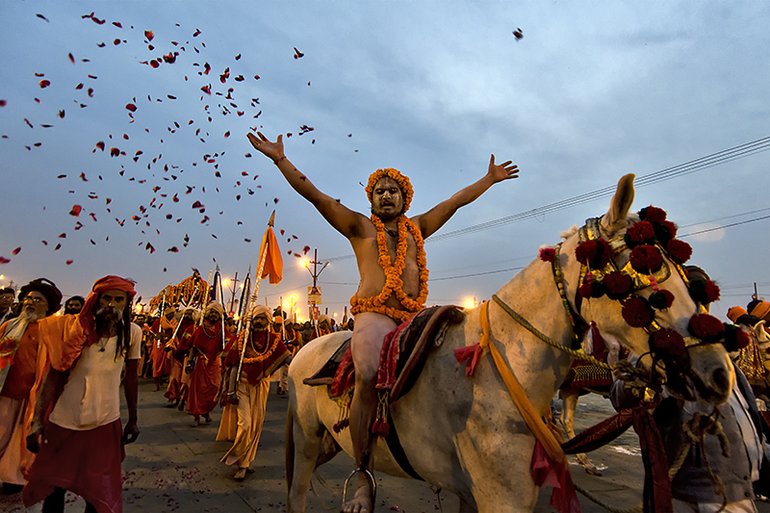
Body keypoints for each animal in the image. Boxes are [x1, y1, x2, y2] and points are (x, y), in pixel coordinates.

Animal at [284, 174, 732, 510]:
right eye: (642, 274)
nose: (718, 375)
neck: (502, 366)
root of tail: (307, 349)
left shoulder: (476, 494)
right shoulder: (502, 498)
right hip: (308, 440)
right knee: (300, 492)